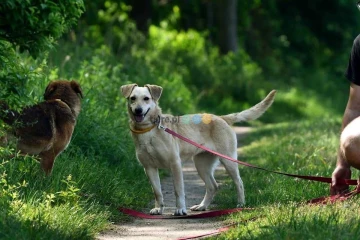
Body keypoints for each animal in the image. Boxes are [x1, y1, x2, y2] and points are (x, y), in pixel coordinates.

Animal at [121, 84, 276, 216]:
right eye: (132, 98)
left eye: (146, 98)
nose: (138, 110)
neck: (149, 130)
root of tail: (220, 117)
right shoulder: (149, 168)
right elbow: (157, 191)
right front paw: (159, 208)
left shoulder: (175, 164)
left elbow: (178, 190)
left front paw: (180, 210)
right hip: (202, 165)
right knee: (213, 186)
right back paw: (202, 206)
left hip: (228, 160)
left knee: (239, 183)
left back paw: (240, 204)